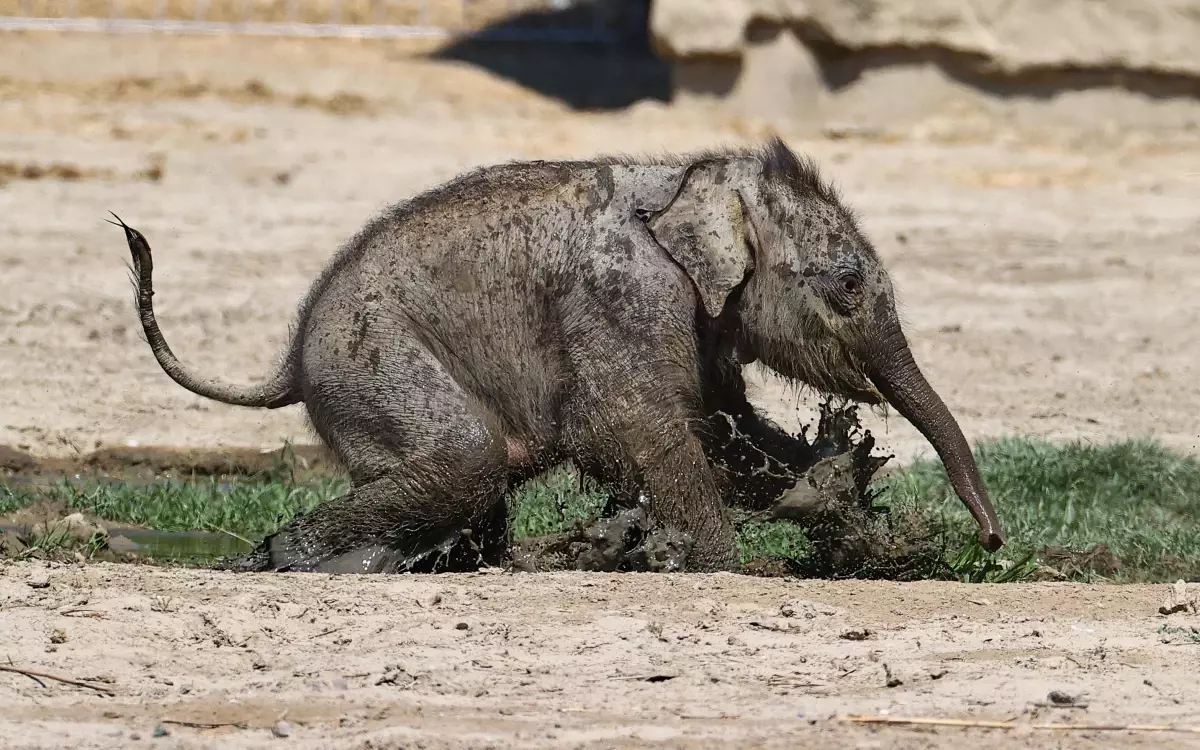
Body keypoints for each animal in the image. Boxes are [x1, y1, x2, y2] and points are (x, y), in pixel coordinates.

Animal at [112, 137, 1003, 573]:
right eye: (847, 285)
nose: (993, 542)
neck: (692, 181)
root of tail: (289, 359)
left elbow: (721, 421)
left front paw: (835, 490)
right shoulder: (620, 297)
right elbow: (634, 427)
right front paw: (726, 567)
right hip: (372, 360)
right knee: (465, 458)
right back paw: (291, 560)